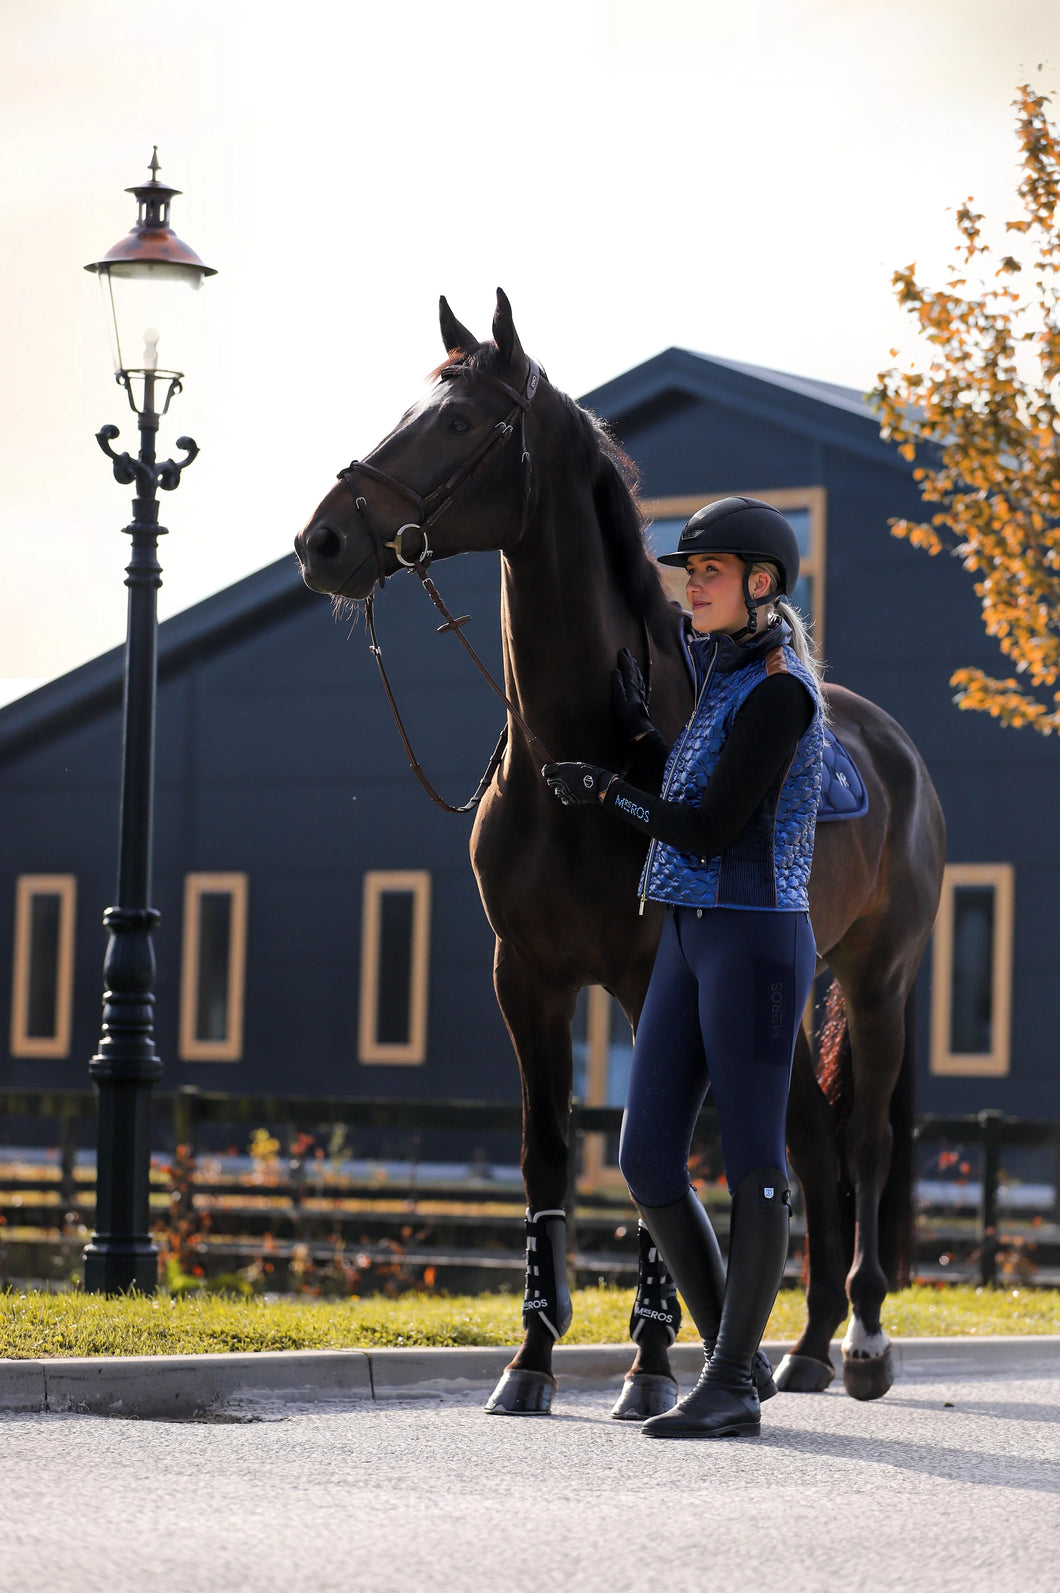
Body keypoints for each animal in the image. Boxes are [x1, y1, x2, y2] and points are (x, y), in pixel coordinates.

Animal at [291, 293, 943, 1414]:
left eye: (458, 422)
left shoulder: (650, 980)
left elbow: (658, 1153)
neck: (584, 747)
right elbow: (548, 1155)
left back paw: (859, 1339)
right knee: (810, 1143)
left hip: (875, 978)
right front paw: (529, 1359)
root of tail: (896, 747)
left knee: (862, 1143)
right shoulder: (526, 978)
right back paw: (805, 1346)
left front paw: (647, 1362)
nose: (322, 539)